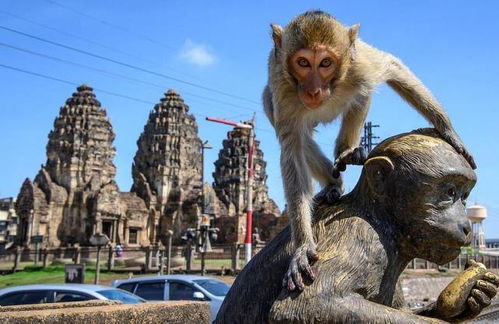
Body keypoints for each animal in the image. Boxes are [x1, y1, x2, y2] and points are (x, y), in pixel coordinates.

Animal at [262, 10, 476, 292]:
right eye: (303, 63)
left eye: (325, 63)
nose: (313, 90)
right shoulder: (283, 89)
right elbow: (292, 150)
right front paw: (303, 246)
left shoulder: (360, 65)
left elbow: (392, 67)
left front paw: (448, 130)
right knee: (295, 131)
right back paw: (333, 183)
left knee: (362, 94)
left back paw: (347, 151)